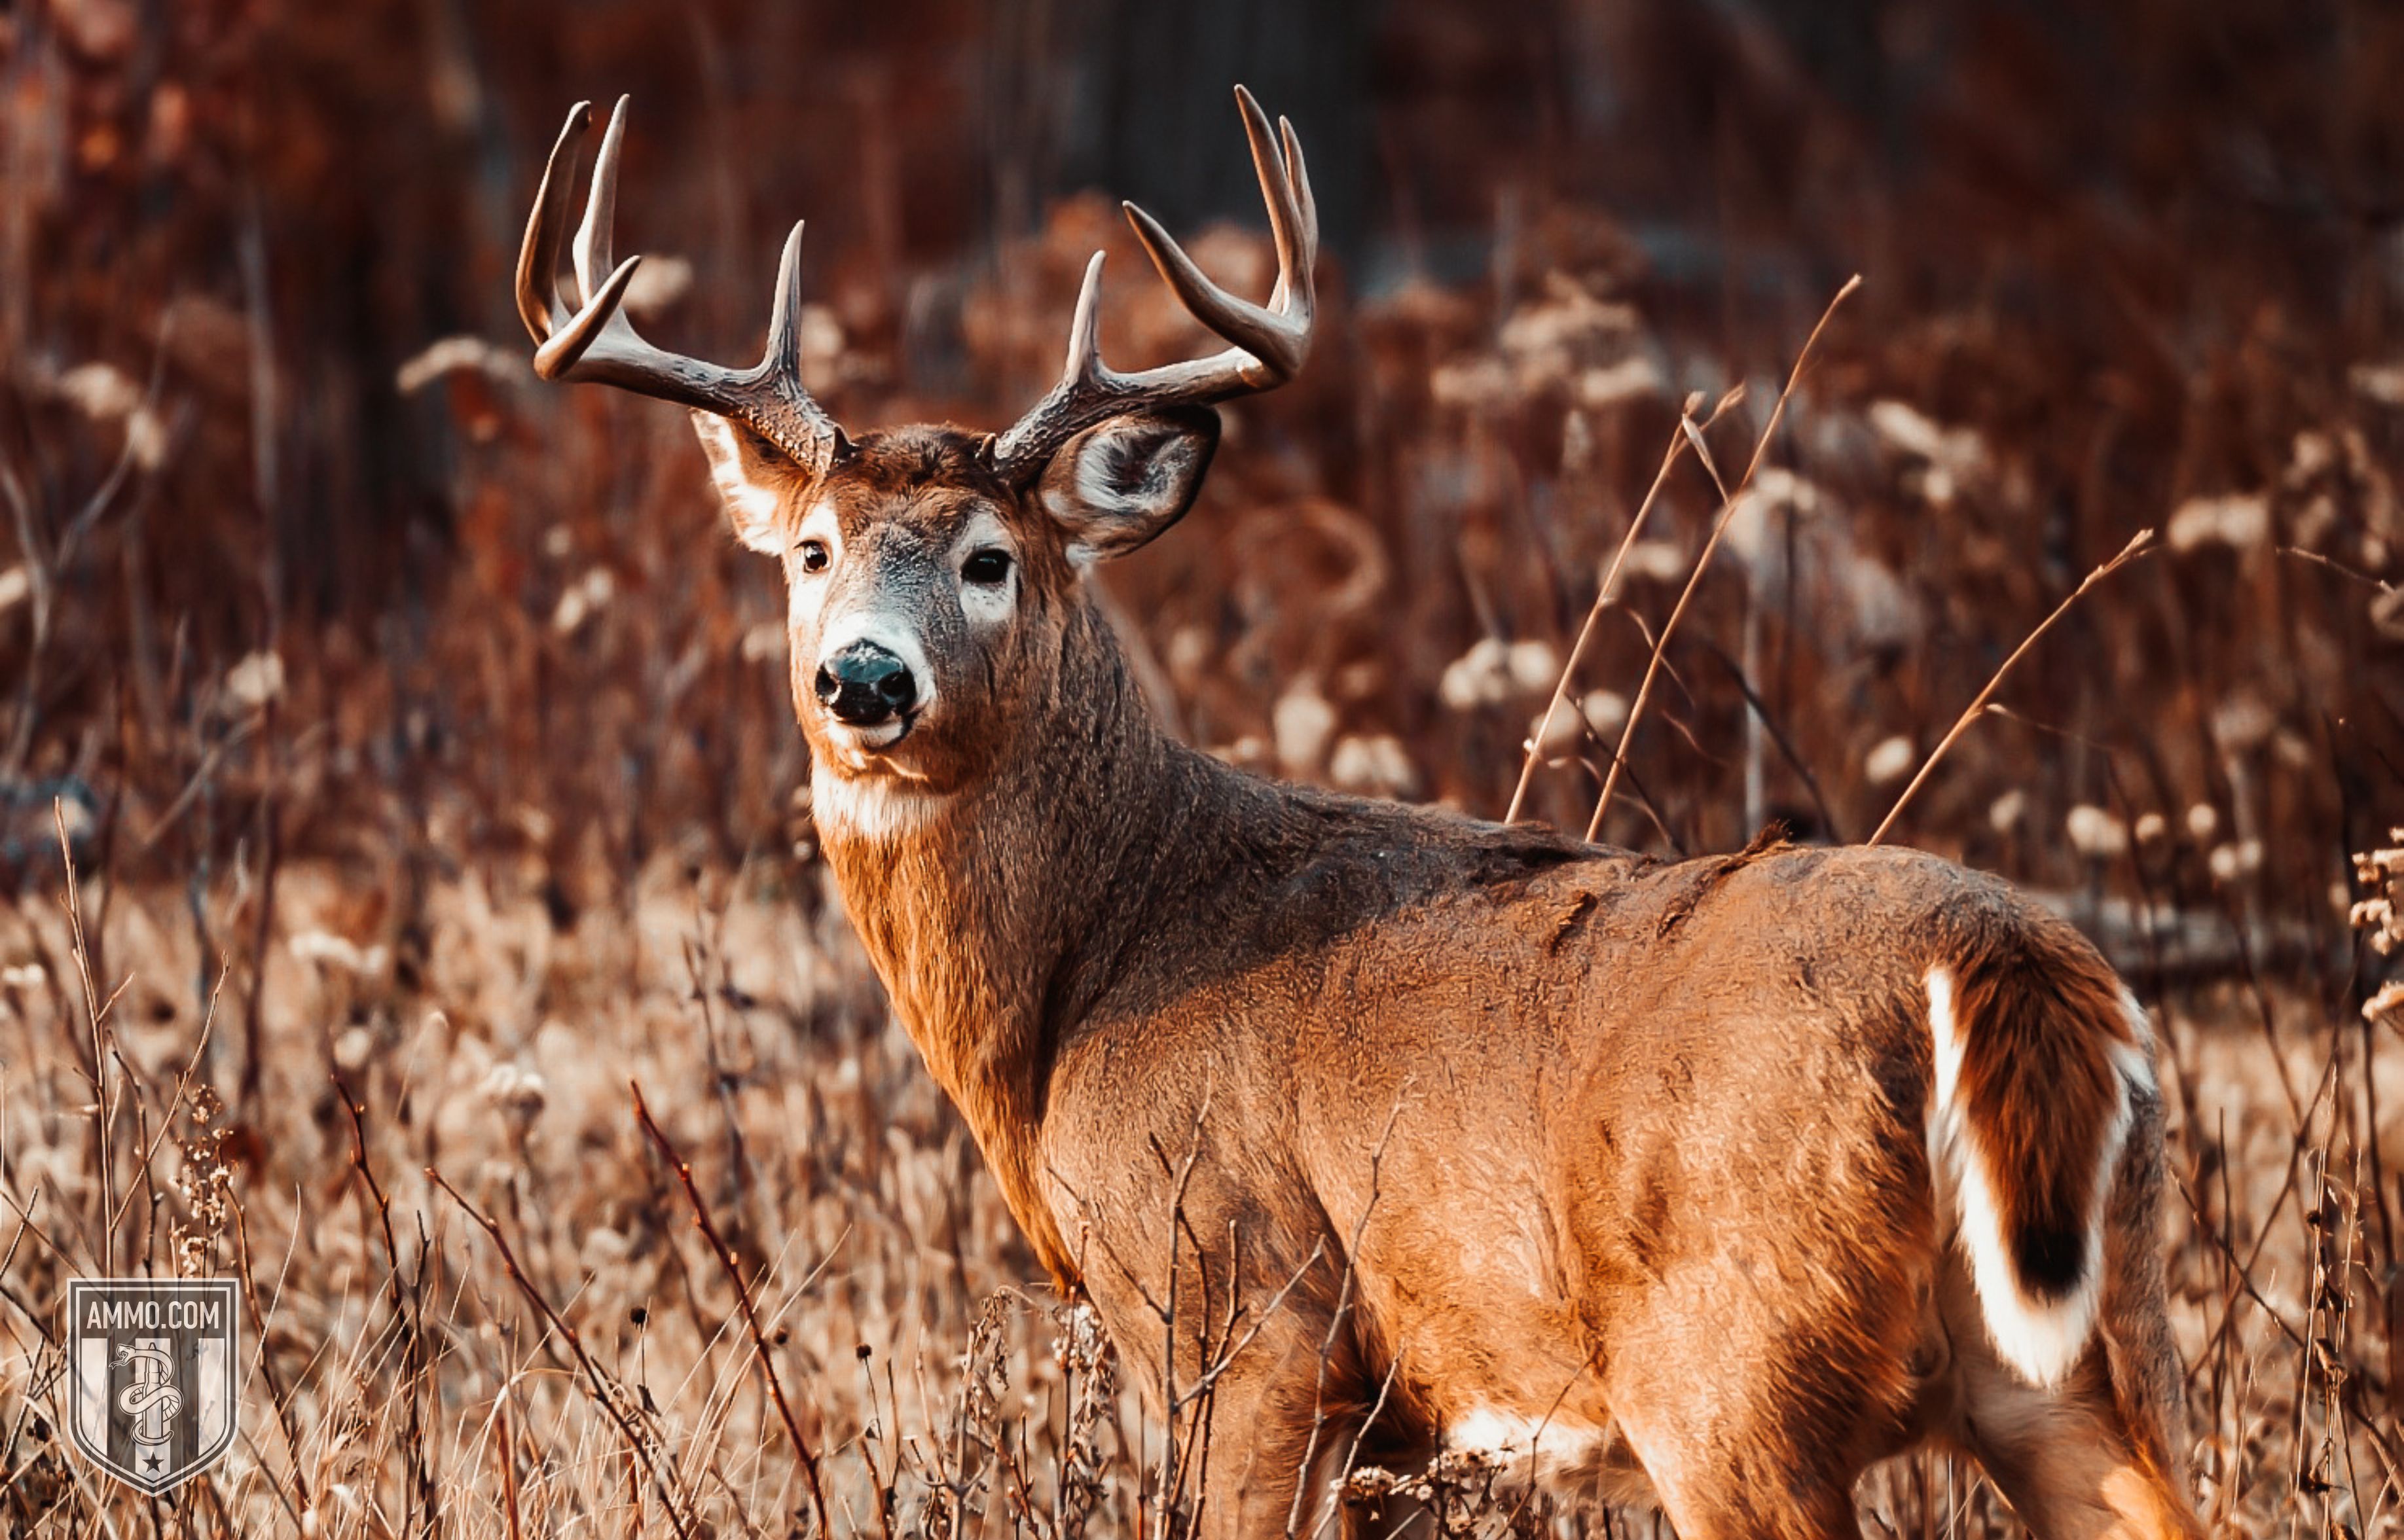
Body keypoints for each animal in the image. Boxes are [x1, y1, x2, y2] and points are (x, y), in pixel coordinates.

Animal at [517, 90, 2202, 1528]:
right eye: (809, 550)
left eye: (991, 558)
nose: (864, 678)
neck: (1090, 972)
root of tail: (2000, 959)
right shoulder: (1390, 1422)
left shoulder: (1243, 1313)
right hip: (2086, 1358)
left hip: (1731, 1370)